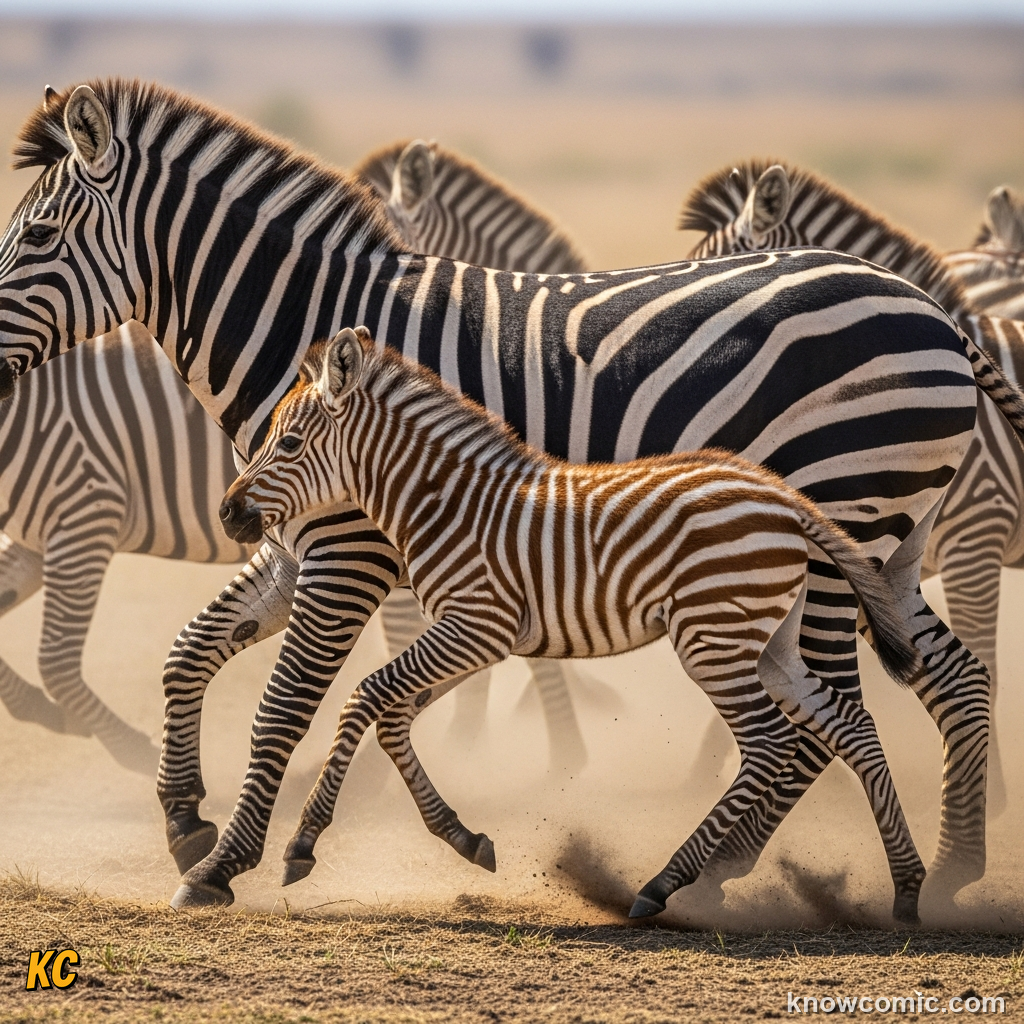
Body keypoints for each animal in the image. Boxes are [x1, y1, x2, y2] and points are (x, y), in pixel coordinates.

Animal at [218, 326, 927, 922]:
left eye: (287, 444)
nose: (227, 514)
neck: (442, 503)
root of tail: (785, 499)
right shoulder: (477, 637)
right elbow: (394, 716)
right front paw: (465, 837)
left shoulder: (476, 623)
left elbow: (364, 699)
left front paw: (302, 844)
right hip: (767, 643)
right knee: (852, 728)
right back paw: (908, 887)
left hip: (714, 639)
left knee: (771, 743)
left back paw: (661, 886)